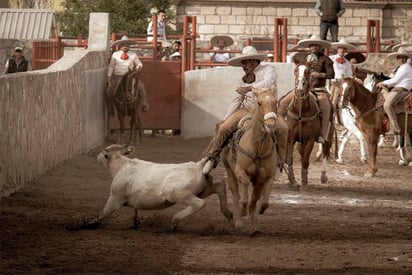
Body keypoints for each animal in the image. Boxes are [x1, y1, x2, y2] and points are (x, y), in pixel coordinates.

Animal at [89, 144, 232, 231]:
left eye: (103, 152)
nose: (97, 155)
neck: (121, 166)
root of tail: (198, 165)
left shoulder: (115, 197)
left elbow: (105, 212)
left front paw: (91, 223)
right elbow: (135, 210)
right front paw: (135, 223)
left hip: (177, 194)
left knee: (200, 203)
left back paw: (174, 221)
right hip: (204, 189)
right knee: (220, 185)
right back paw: (228, 214)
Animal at [222, 86, 280, 235]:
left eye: (275, 102)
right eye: (259, 103)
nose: (270, 124)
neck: (258, 149)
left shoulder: (266, 178)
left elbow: (261, 202)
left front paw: (259, 211)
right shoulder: (239, 171)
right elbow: (244, 193)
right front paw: (243, 211)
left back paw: (254, 229)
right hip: (229, 172)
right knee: (235, 194)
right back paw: (237, 221)